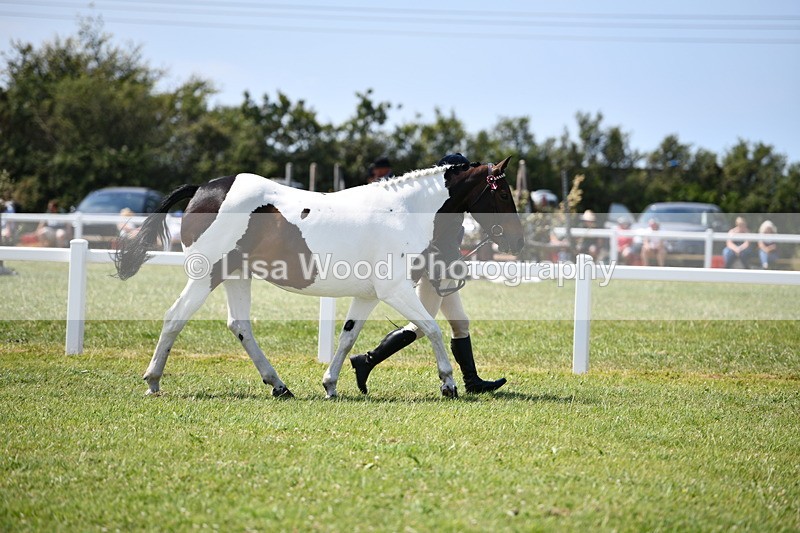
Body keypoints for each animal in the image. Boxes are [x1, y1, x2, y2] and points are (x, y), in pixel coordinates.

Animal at [114, 157, 524, 398]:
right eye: (504, 192)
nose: (518, 242)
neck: (403, 211)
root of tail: (202, 189)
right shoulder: (394, 290)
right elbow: (432, 329)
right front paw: (449, 383)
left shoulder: (369, 295)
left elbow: (348, 336)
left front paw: (331, 384)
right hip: (206, 276)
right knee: (175, 317)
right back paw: (153, 381)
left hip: (236, 276)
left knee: (240, 326)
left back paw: (279, 386)